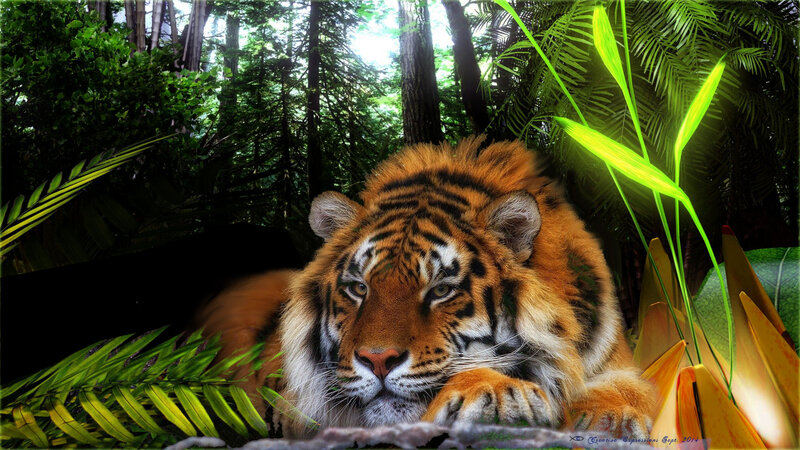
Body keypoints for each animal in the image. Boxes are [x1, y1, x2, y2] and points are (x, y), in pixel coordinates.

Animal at [198, 137, 656, 439]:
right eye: (359, 288)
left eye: (440, 290)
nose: (377, 360)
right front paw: (498, 392)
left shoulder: (615, 361)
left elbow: (627, 387)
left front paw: (611, 418)